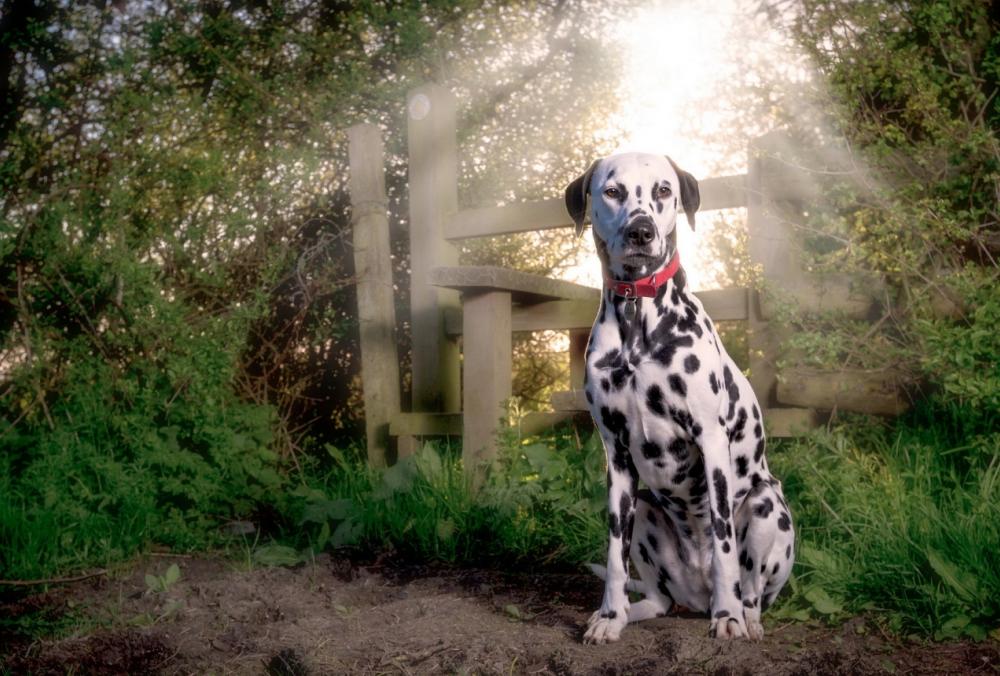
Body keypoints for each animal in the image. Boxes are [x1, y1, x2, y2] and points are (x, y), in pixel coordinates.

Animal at [568, 153, 792, 644]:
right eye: (612, 191)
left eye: (664, 190)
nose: (641, 231)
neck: (639, 316)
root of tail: (696, 593)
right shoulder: (616, 456)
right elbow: (614, 555)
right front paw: (608, 616)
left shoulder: (711, 442)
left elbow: (725, 541)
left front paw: (727, 617)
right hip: (647, 511)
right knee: (658, 600)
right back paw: (627, 613)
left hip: (767, 506)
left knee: (752, 588)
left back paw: (742, 615)